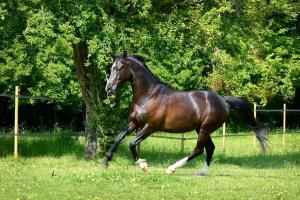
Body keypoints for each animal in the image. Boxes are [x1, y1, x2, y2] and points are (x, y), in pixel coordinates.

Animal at [102, 52, 266, 176]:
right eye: (112, 67)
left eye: (120, 67)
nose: (109, 89)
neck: (149, 95)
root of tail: (222, 100)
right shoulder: (135, 122)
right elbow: (118, 138)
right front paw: (105, 162)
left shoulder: (150, 126)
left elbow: (132, 143)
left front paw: (143, 165)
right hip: (201, 129)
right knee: (210, 148)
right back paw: (201, 172)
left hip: (205, 129)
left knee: (199, 150)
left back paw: (171, 168)